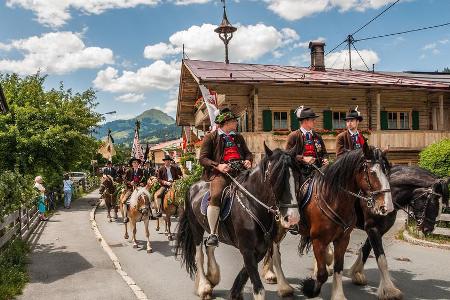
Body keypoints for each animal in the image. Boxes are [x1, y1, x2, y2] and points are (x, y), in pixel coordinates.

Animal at [178, 144, 300, 298]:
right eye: (275, 177)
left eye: (296, 176)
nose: (293, 217)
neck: (252, 205)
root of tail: (192, 187)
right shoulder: (247, 249)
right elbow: (258, 288)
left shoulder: (260, 248)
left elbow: (245, 272)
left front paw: (235, 292)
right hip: (196, 228)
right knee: (199, 254)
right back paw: (204, 287)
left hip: (214, 232)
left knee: (209, 245)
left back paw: (213, 277)